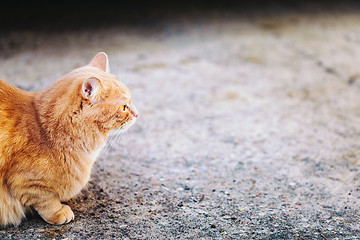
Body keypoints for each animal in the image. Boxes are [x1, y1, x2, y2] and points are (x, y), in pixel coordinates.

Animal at [0, 51, 138, 226]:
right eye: (124, 107)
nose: (137, 114)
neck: (46, 132)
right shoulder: (26, 184)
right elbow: (46, 201)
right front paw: (58, 212)